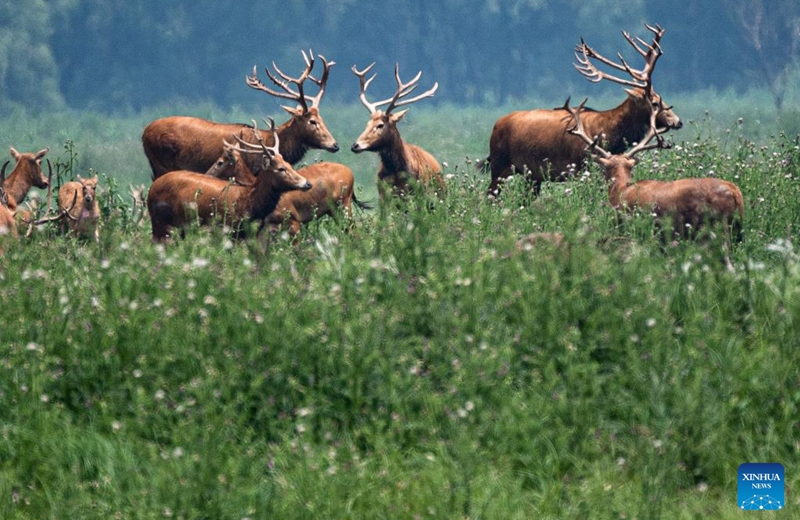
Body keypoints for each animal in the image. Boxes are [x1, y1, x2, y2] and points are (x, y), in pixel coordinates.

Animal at [144, 49, 338, 179]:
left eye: (321, 118)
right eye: (312, 121)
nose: (335, 144)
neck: (268, 142)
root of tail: (144, 133)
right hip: (162, 163)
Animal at [147, 120, 312, 242]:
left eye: (289, 165)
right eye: (280, 168)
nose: (307, 183)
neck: (248, 201)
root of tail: (152, 188)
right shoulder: (229, 229)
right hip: (160, 222)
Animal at [488, 23, 680, 197]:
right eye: (655, 102)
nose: (678, 121)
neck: (608, 134)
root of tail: (496, 124)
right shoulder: (579, 167)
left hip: (532, 175)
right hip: (499, 165)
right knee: (490, 195)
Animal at [568, 97, 744, 246]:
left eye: (604, 168)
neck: (620, 190)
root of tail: (735, 192)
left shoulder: (628, 223)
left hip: (715, 226)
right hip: (737, 229)